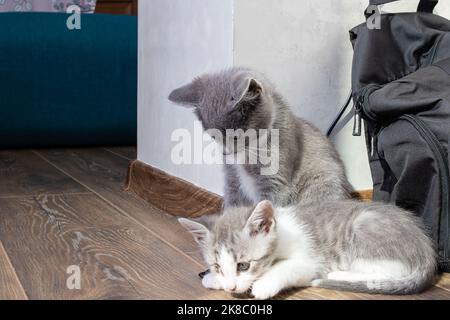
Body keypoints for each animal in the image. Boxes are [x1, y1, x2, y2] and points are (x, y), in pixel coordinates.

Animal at [178, 201, 436, 298]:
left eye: (243, 265)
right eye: (218, 266)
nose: (231, 287)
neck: (280, 234)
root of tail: (426, 248)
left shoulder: (311, 262)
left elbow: (287, 268)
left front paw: (262, 285)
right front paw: (213, 279)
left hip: (364, 228)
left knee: (386, 272)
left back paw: (339, 274)